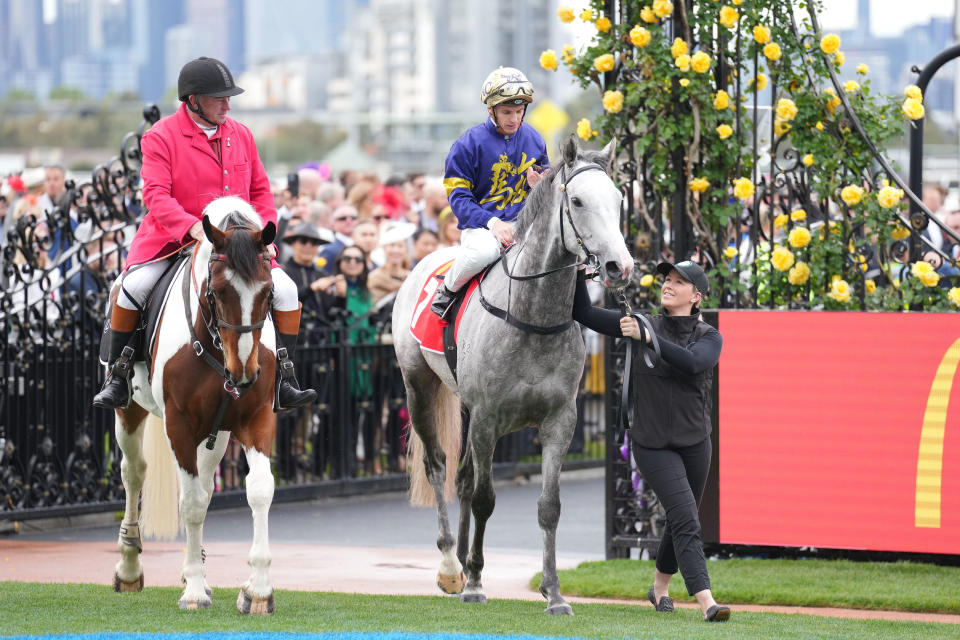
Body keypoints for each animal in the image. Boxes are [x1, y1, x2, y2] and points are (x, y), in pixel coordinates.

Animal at [113, 196, 280, 616]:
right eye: (217, 292)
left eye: (268, 292)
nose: (243, 373)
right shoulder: (180, 425)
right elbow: (188, 503)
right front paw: (192, 591)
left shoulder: (255, 419)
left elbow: (259, 490)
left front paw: (257, 589)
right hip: (130, 412)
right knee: (134, 472)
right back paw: (130, 566)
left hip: (216, 432)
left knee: (204, 486)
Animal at [390, 136, 632, 616]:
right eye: (578, 201)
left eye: (618, 200)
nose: (620, 266)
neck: (532, 317)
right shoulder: (488, 417)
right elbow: (485, 498)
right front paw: (474, 584)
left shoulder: (560, 421)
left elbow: (548, 506)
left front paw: (554, 592)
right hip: (419, 387)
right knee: (438, 466)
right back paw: (452, 567)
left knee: (463, 477)